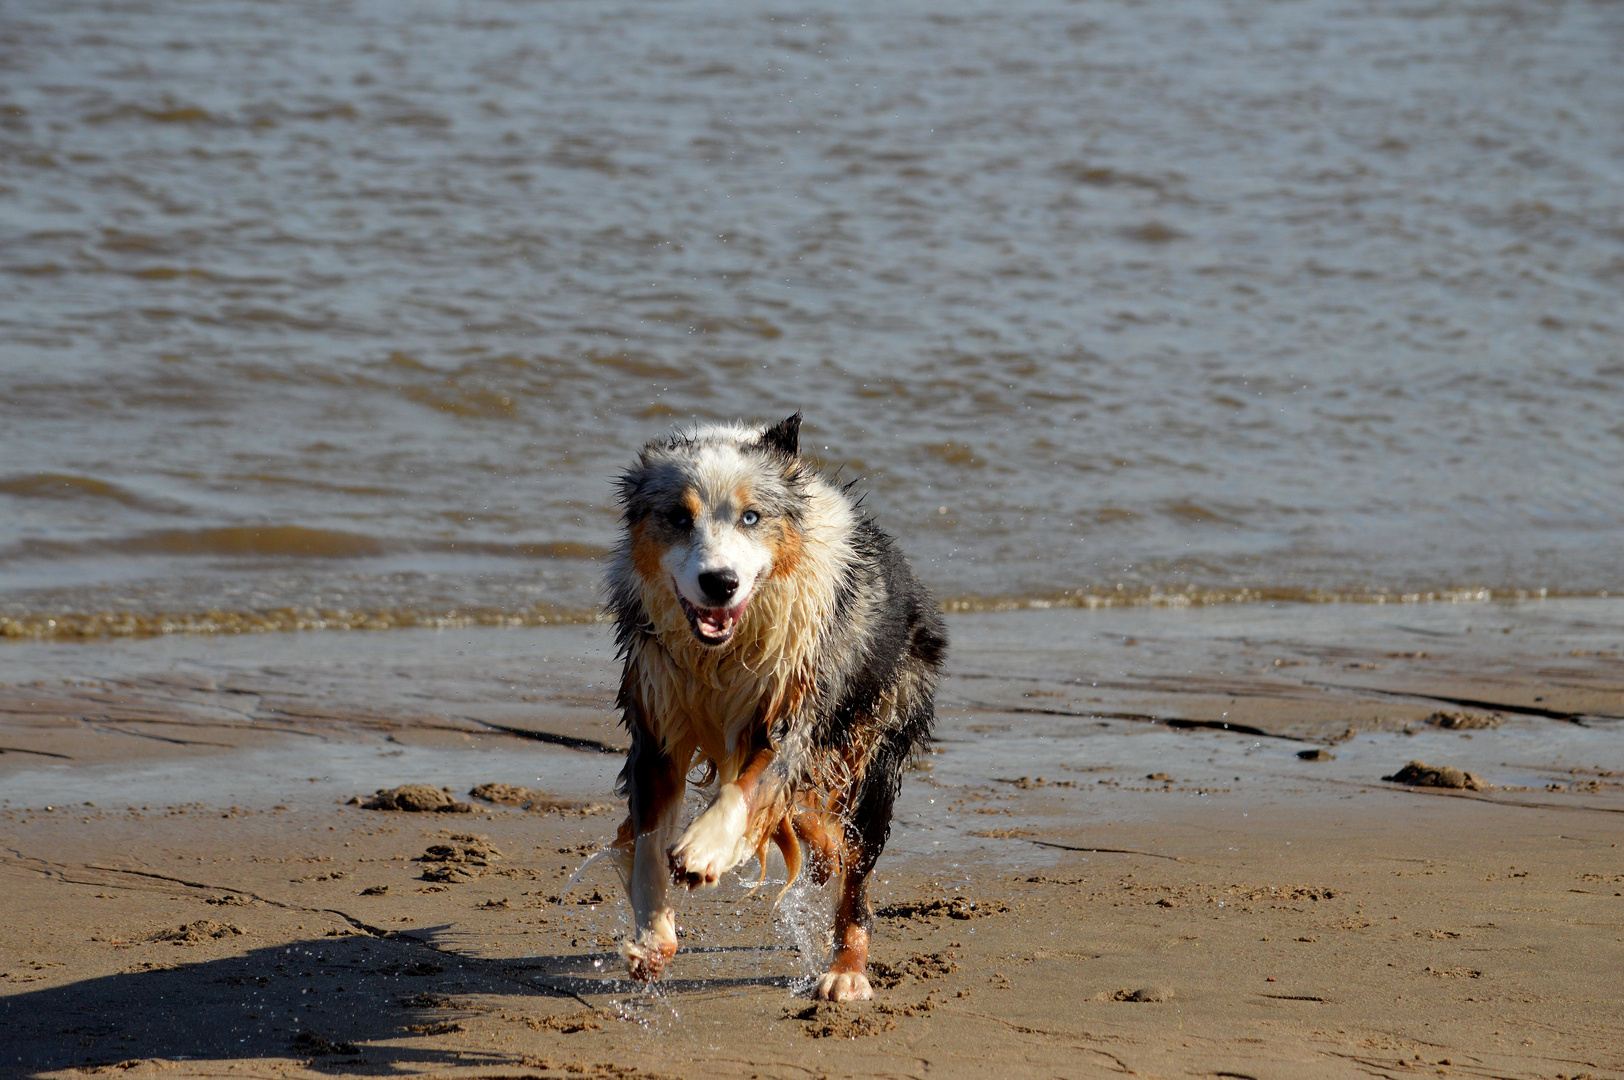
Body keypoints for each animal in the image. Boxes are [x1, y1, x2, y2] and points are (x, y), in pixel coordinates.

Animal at [604, 412, 948, 1000]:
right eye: (678, 518)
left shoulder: (797, 720)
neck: (721, 654)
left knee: (856, 880)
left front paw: (704, 849)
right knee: (816, 829)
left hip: (878, 749)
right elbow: (649, 848)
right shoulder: (657, 727)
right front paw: (653, 940)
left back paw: (846, 971)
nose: (720, 582)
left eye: (751, 517)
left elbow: (748, 788)